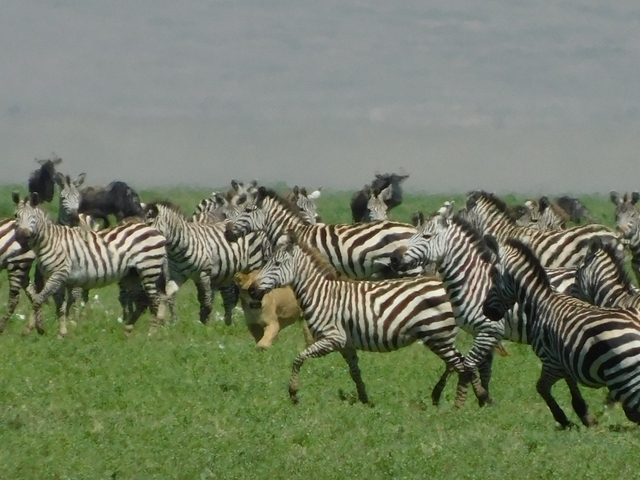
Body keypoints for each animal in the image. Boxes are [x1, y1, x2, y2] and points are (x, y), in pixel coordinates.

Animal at [13, 192, 168, 338]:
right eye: (16, 216)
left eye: (33, 217)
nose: (22, 236)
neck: (50, 242)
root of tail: (154, 231)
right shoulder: (58, 279)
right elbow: (58, 307)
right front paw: (61, 333)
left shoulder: (58, 275)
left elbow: (37, 299)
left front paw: (33, 329)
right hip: (132, 274)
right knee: (142, 300)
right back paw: (128, 330)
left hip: (149, 269)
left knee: (155, 300)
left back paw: (151, 334)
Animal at [247, 230, 489, 407]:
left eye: (276, 265)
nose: (251, 290)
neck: (321, 293)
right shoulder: (346, 343)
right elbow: (355, 372)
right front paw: (364, 400)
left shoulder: (332, 338)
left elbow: (298, 358)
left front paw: (293, 393)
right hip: (439, 336)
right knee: (460, 362)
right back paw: (470, 397)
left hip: (437, 333)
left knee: (461, 364)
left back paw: (460, 404)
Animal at [482, 236, 640, 427]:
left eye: (493, 276)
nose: (486, 311)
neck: (540, 300)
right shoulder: (565, 358)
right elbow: (569, 383)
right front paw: (584, 414)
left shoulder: (551, 360)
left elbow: (541, 387)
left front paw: (564, 419)